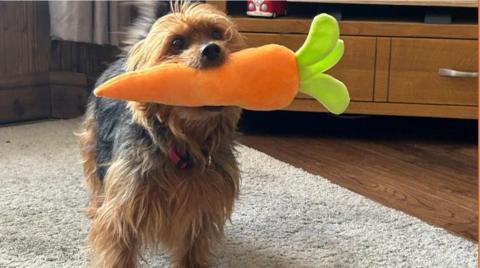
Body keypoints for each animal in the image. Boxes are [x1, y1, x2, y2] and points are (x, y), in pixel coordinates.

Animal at [78, 2, 246, 268]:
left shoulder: (200, 211)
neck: (185, 144)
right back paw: (95, 205)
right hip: (92, 144)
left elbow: (192, 250)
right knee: (95, 178)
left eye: (217, 33)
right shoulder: (123, 212)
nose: (212, 49)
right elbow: (118, 251)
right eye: (176, 42)